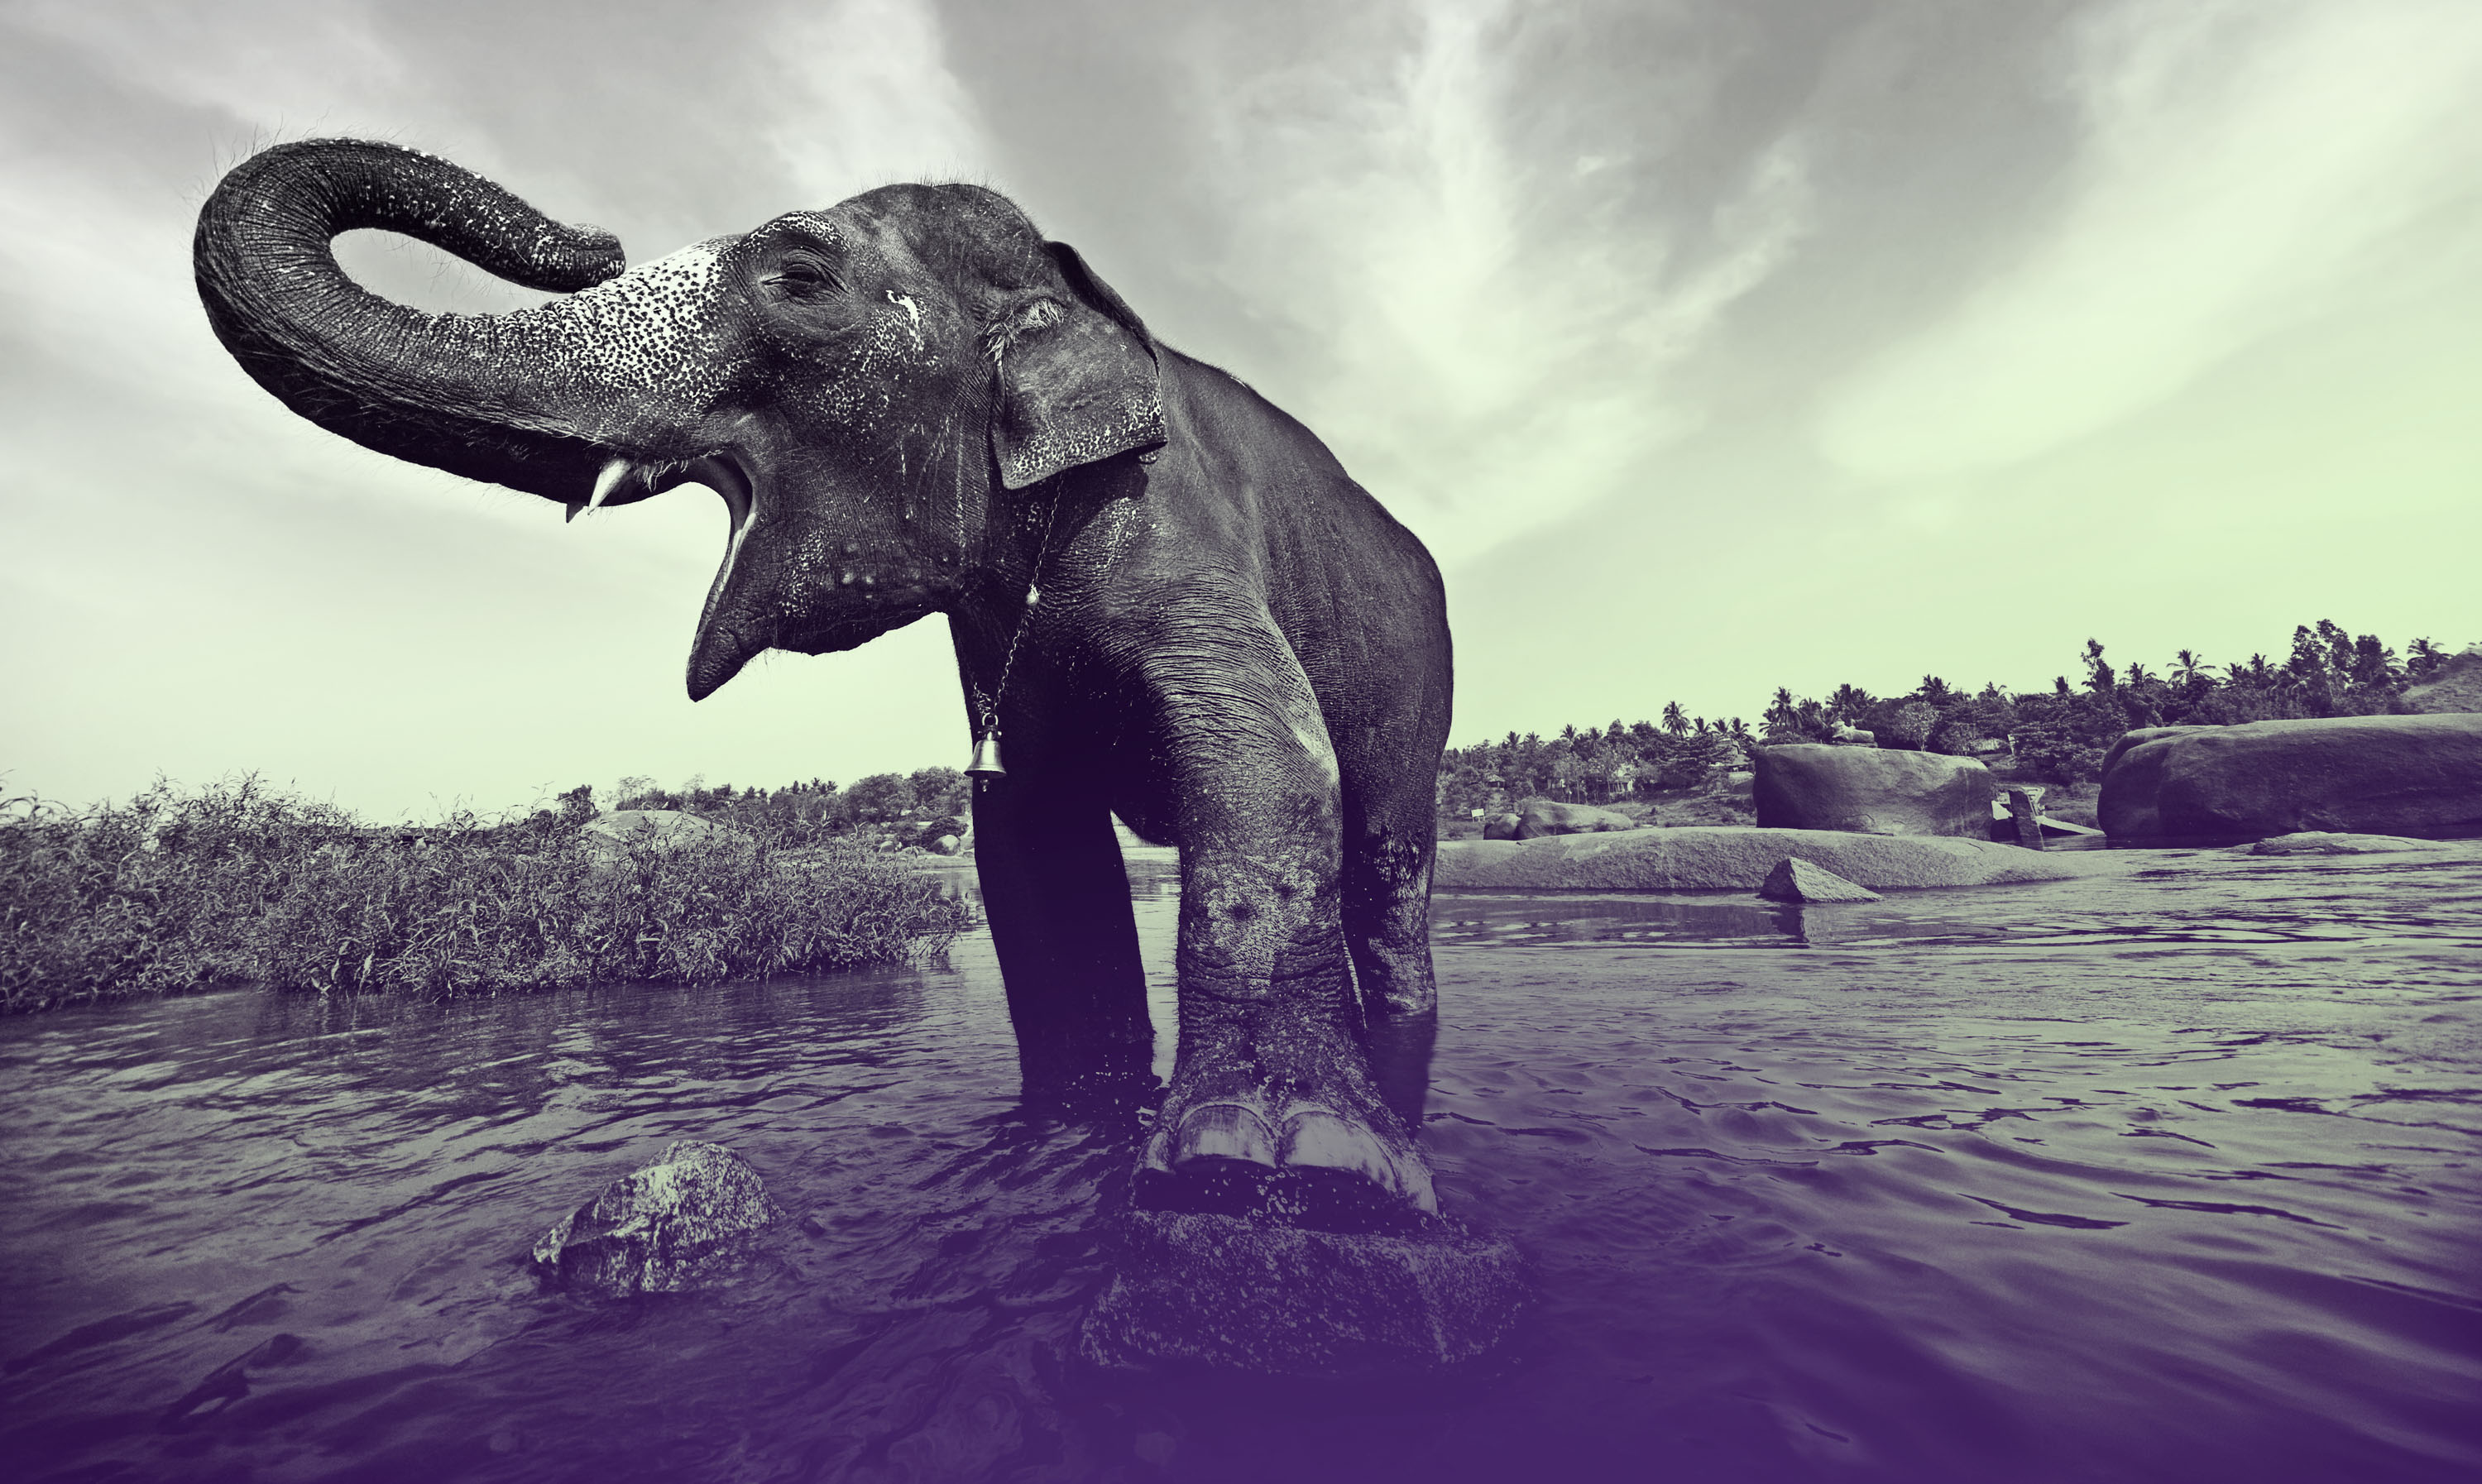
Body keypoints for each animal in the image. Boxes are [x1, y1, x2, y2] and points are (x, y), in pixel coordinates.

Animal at [194, 139, 1452, 1227]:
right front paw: (1073, 1133)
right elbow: (1028, 836)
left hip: (1420, 686)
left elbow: (1267, 757)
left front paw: (1269, 1164)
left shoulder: (1174, 523)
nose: (590, 241)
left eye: (799, 279)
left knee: (1388, 861)